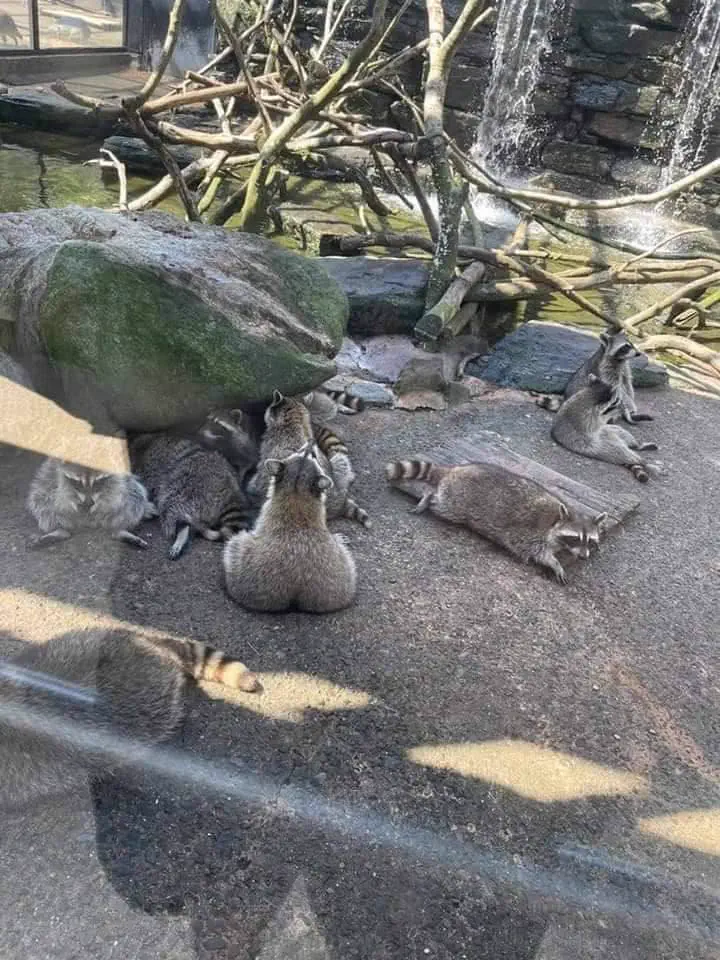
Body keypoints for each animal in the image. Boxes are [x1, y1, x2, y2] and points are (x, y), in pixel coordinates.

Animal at [27, 458, 156, 549]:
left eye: (98, 482)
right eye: (78, 482)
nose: (89, 502)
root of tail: (89, 524)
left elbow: (115, 490)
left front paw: (102, 503)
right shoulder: (54, 471)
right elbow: (57, 487)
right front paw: (70, 501)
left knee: (135, 496)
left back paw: (118, 530)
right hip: (43, 497)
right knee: (42, 502)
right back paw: (60, 530)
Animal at [386, 459, 606, 584]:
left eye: (590, 540)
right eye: (575, 538)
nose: (584, 557)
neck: (556, 520)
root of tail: (456, 470)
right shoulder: (530, 533)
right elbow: (536, 552)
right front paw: (554, 563)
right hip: (458, 500)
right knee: (441, 503)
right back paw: (428, 496)